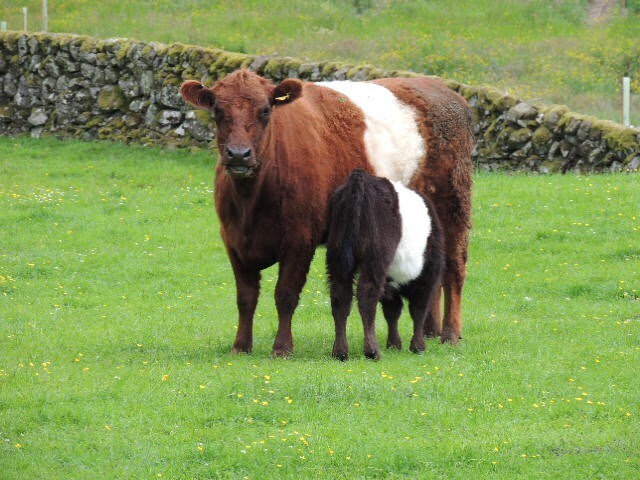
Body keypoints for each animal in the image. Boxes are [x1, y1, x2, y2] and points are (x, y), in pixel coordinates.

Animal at [324, 169, 444, 360]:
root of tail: (361, 179)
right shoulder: (427, 276)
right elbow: (418, 309)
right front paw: (418, 346)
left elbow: (392, 311)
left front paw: (394, 344)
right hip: (375, 257)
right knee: (367, 295)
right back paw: (372, 351)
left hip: (337, 257)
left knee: (340, 296)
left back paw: (340, 352)